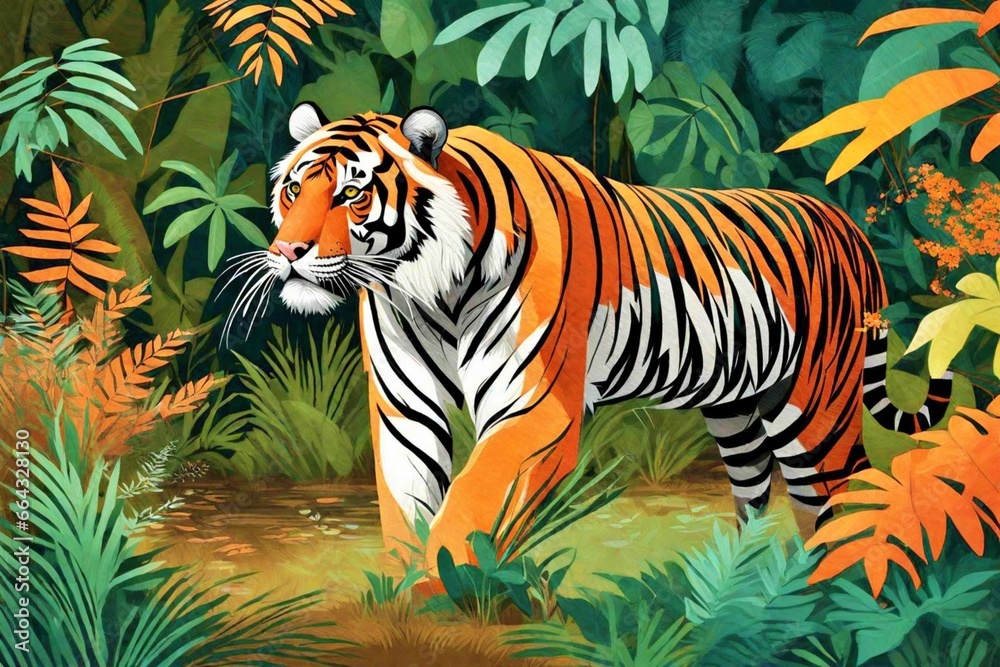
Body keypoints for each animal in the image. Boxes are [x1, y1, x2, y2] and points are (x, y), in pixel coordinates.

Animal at [239, 103, 952, 568]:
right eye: (296, 187)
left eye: (352, 195)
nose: (287, 253)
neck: (424, 287)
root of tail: (849, 226)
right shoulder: (404, 411)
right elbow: (407, 508)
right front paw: (399, 601)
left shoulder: (534, 410)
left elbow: (469, 506)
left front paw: (439, 593)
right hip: (736, 409)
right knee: (758, 489)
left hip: (815, 413)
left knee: (841, 498)